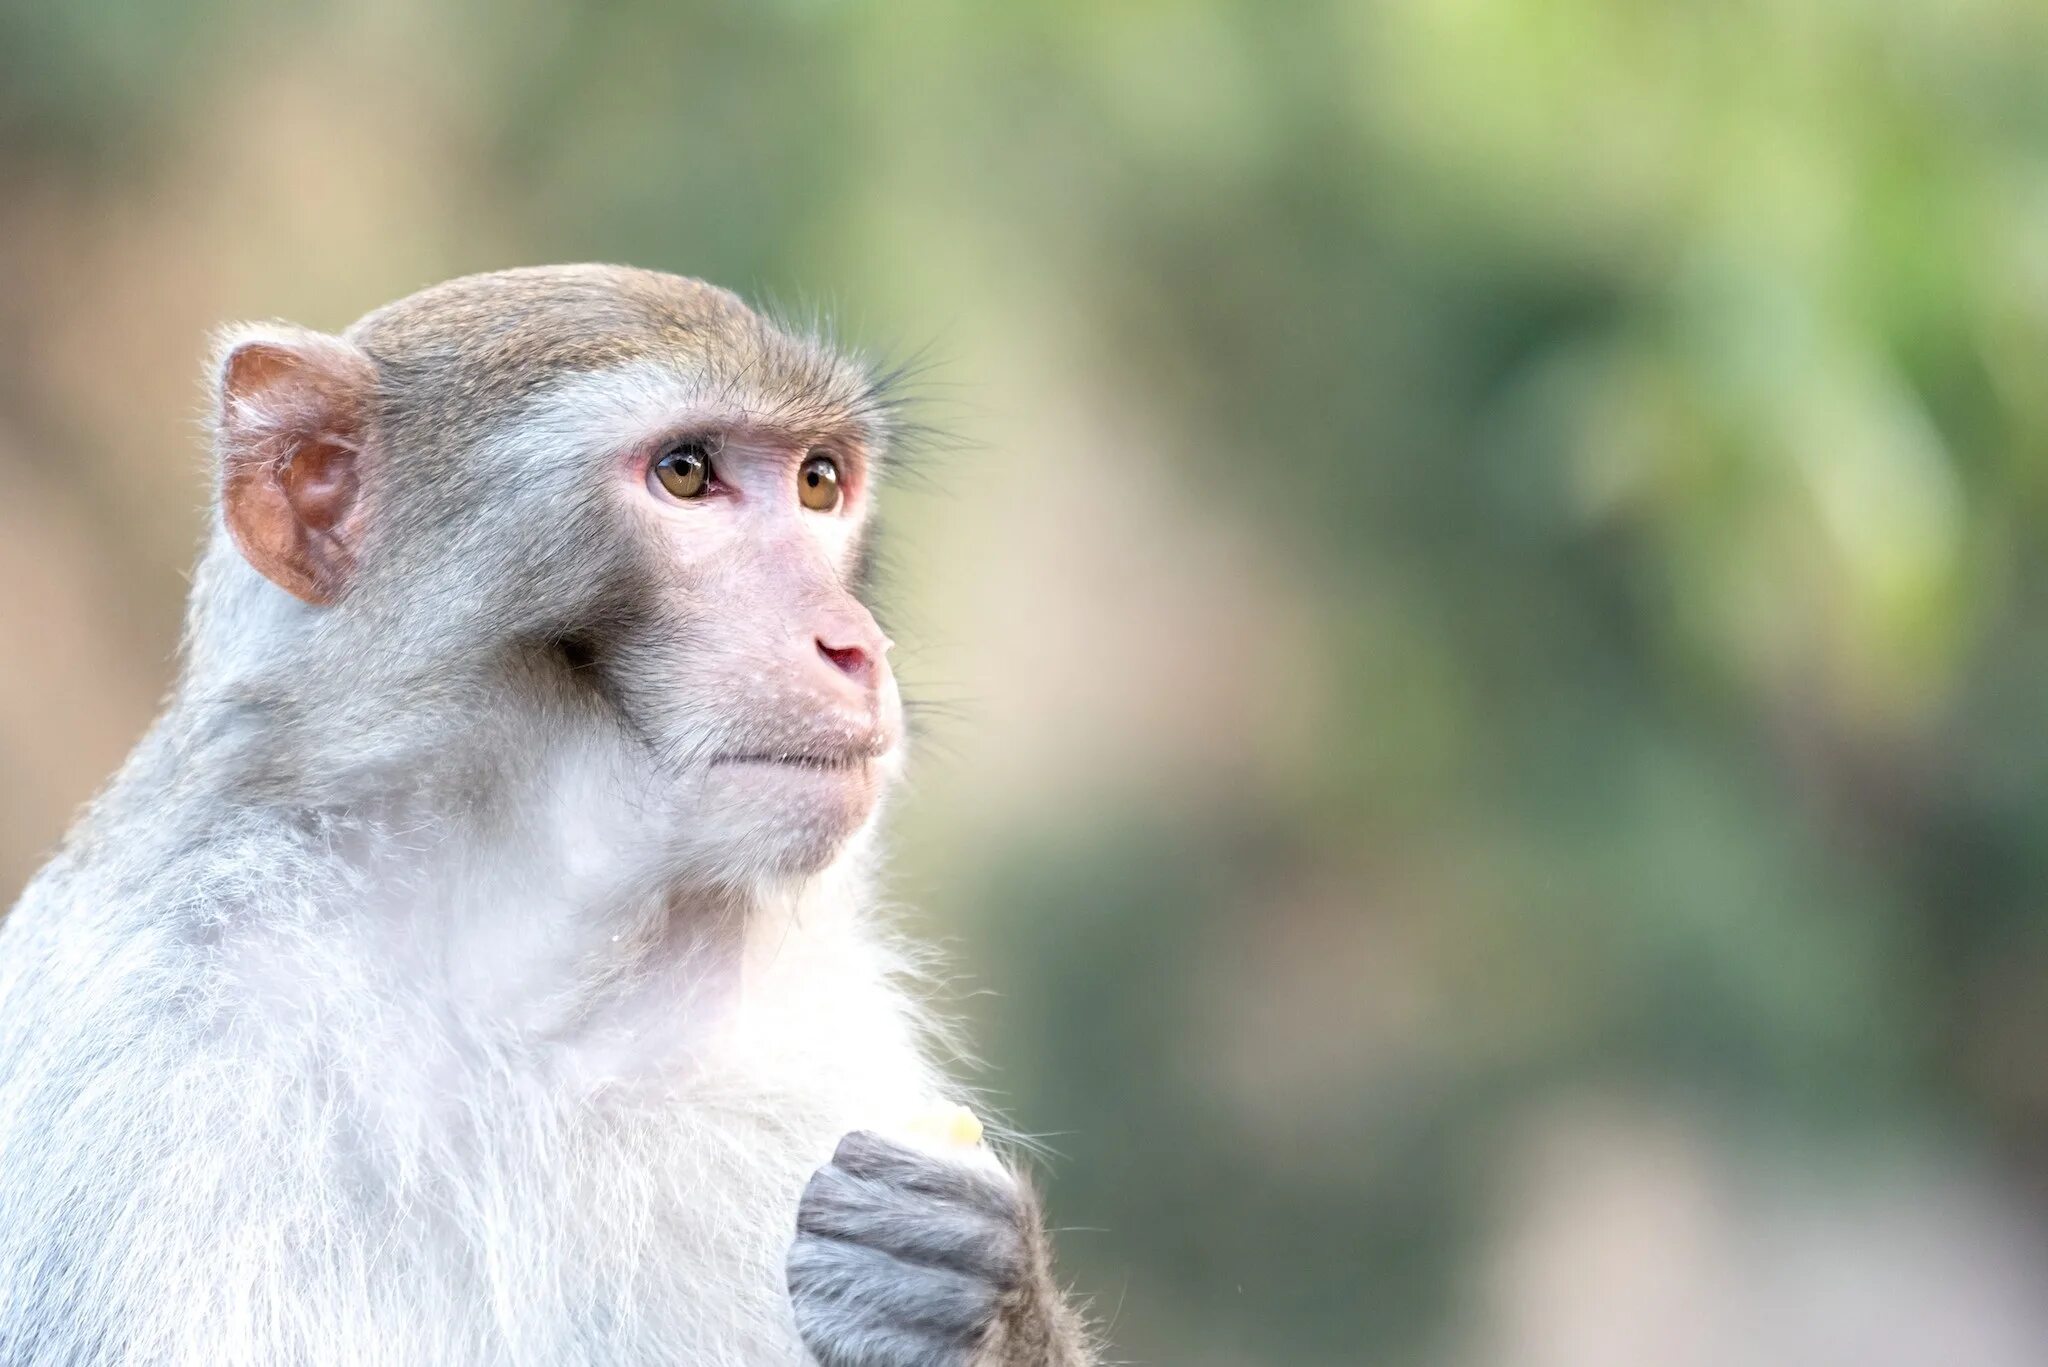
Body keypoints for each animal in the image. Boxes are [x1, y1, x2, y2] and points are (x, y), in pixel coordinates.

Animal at [0, 266, 1097, 1367]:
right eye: (686, 473)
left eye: (820, 481)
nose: (857, 646)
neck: (535, 983)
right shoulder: (163, 1049)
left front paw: (972, 1300)